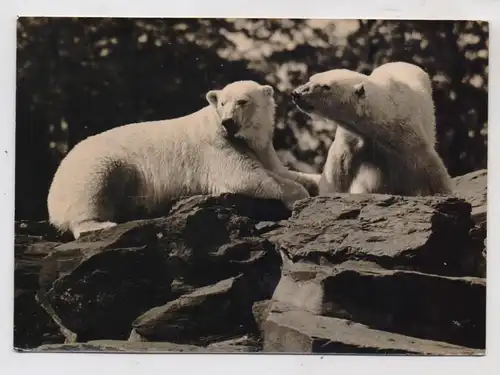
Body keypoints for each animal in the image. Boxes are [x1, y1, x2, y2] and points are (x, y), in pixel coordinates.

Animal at [47, 82, 308, 241]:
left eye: (242, 101)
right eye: (223, 103)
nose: (228, 122)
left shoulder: (262, 149)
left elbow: (281, 171)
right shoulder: (217, 146)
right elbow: (246, 177)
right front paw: (299, 196)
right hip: (95, 164)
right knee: (92, 187)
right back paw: (100, 225)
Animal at [292, 61, 456, 197]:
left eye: (326, 87)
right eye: (311, 78)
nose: (296, 93)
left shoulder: (405, 135)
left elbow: (429, 163)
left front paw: (444, 193)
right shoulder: (352, 138)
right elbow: (338, 166)